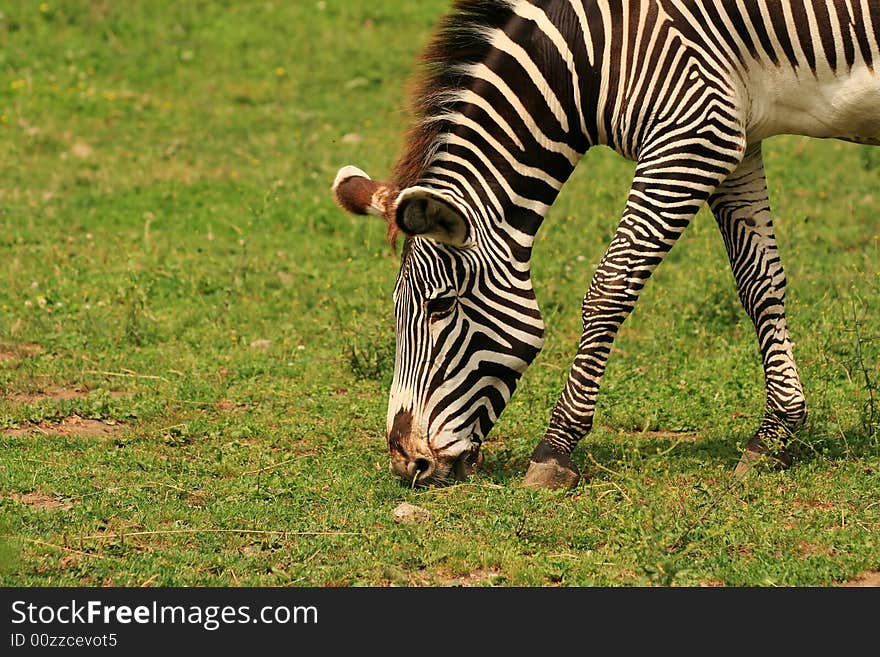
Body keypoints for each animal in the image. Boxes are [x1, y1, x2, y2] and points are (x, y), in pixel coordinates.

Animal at [332, 1, 880, 486]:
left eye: (441, 306)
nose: (408, 464)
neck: (593, 56)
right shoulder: (738, 137)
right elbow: (758, 282)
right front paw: (775, 434)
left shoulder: (694, 137)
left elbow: (610, 287)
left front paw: (555, 449)